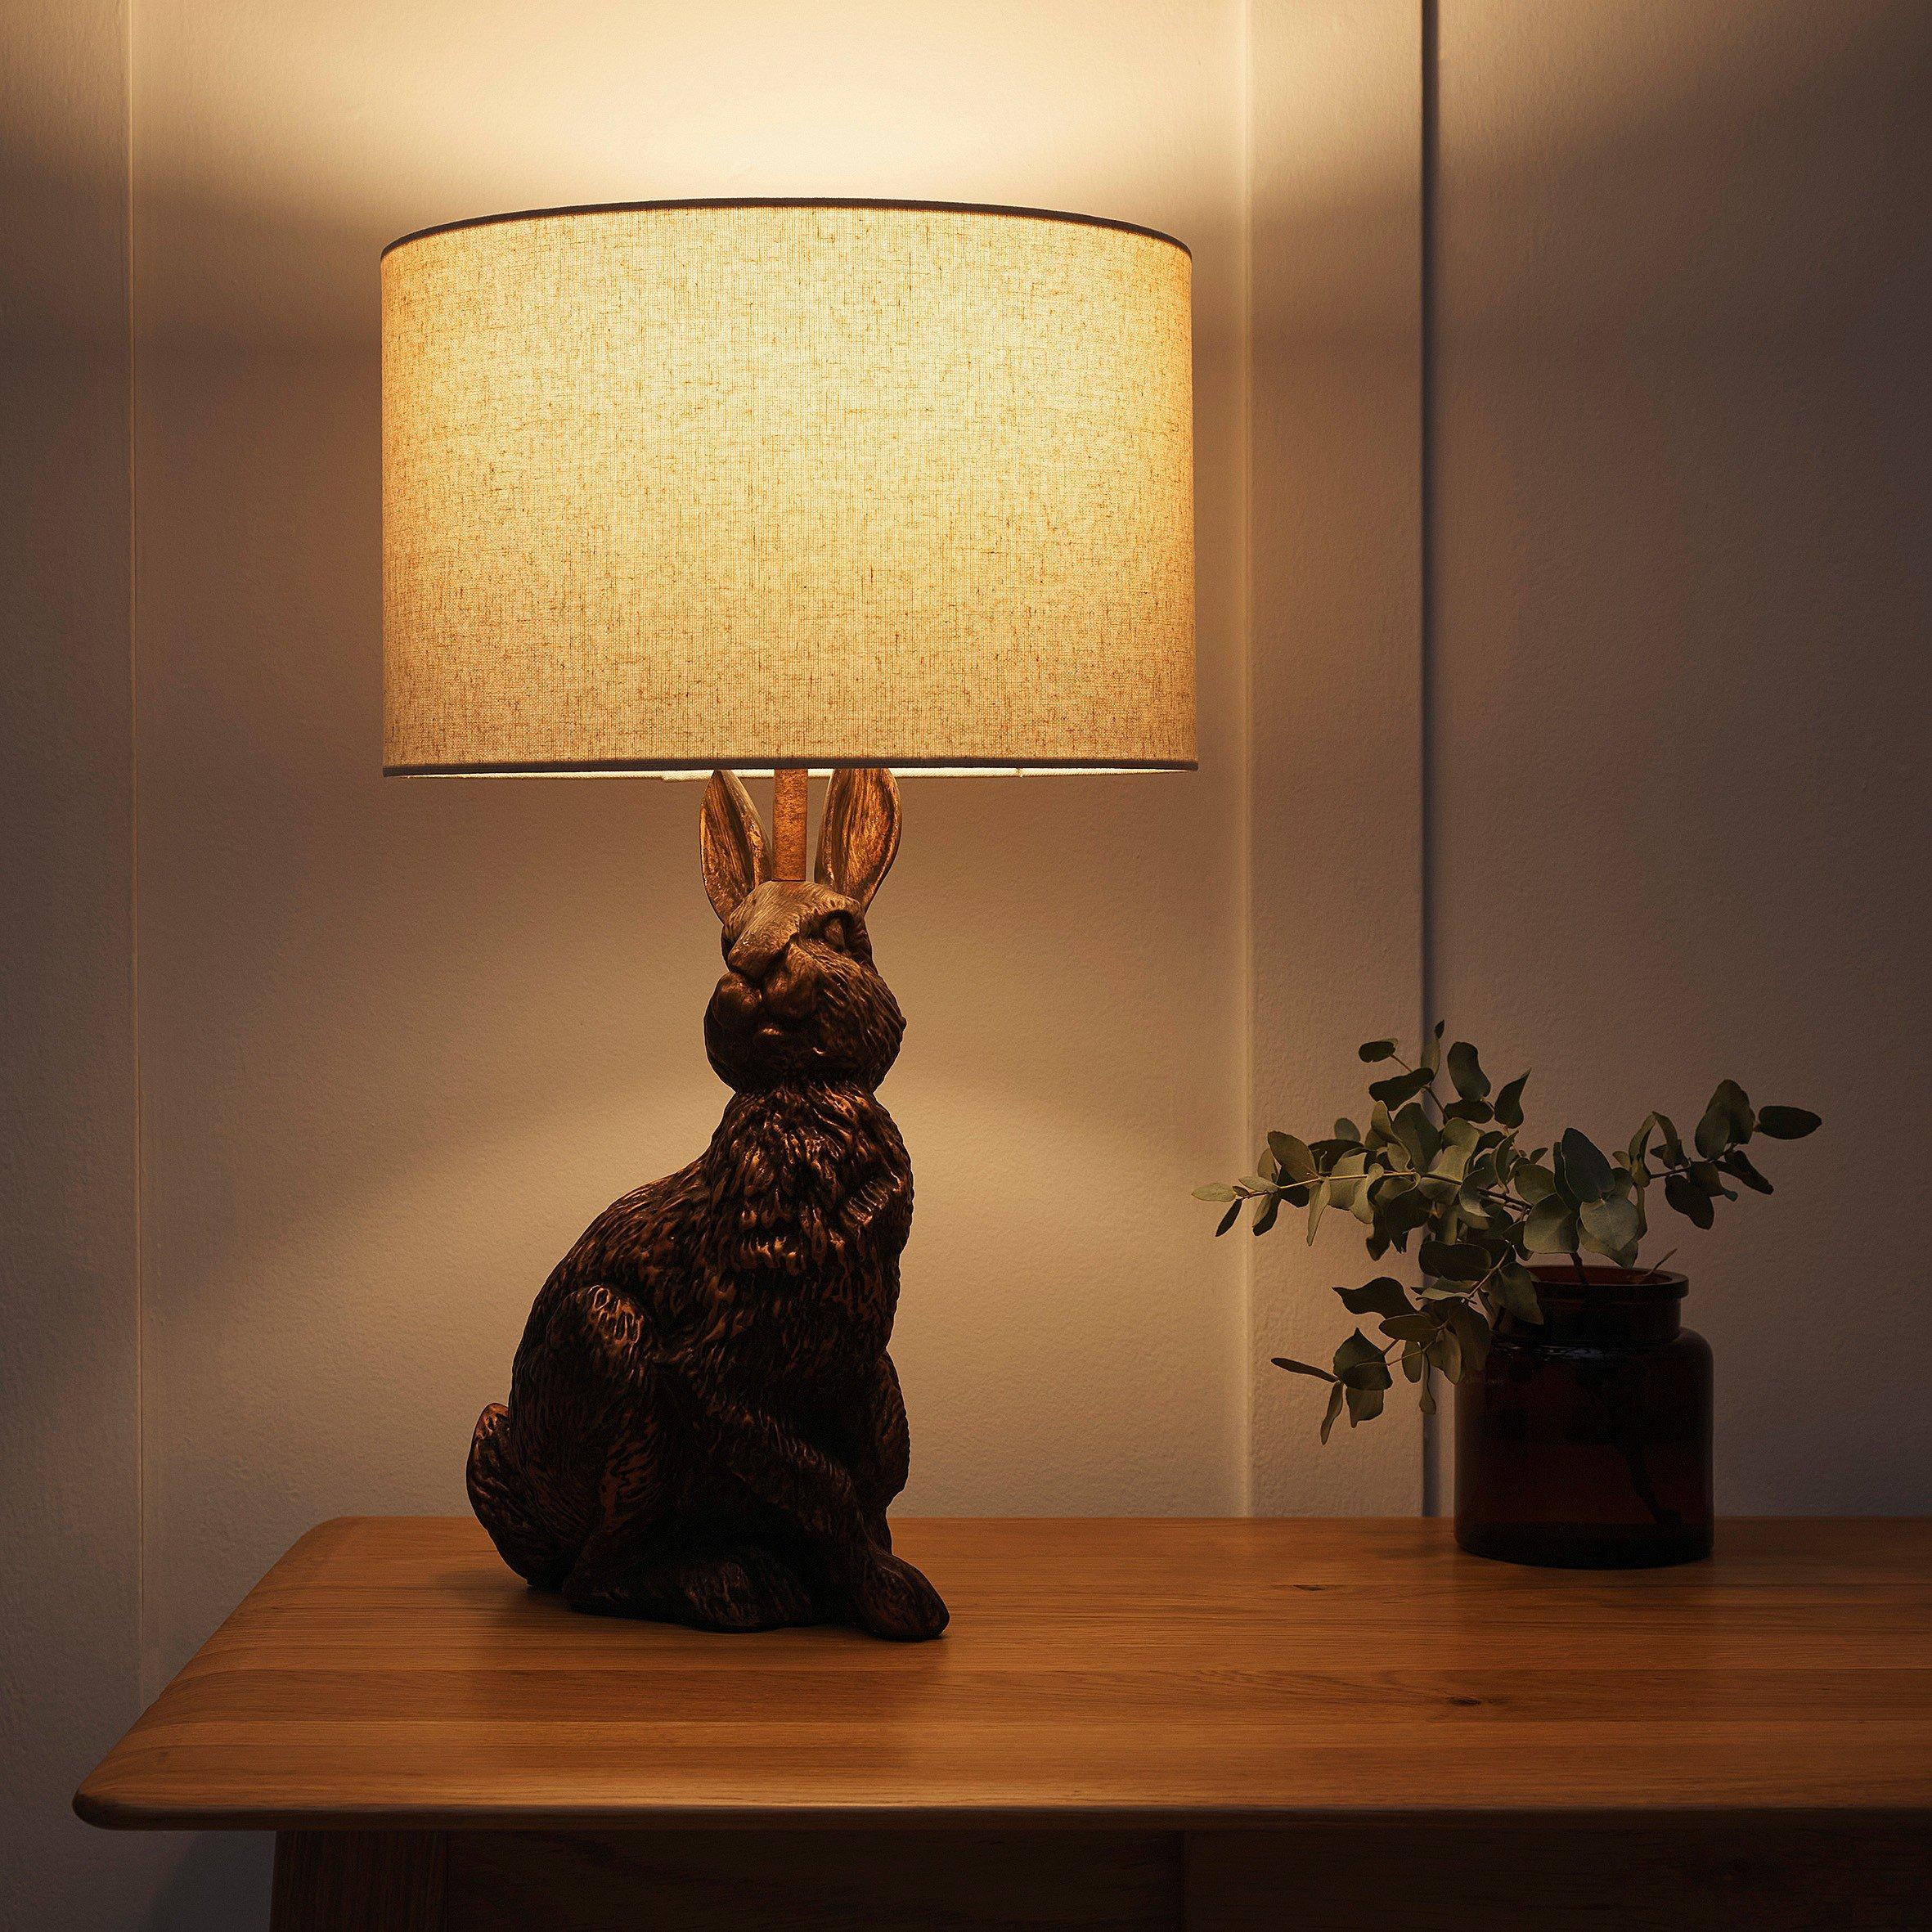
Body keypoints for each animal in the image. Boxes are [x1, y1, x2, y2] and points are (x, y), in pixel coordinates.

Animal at [465, 766, 948, 1641]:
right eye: (726, 938)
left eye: (840, 929)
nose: (752, 965)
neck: (802, 1093)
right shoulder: (712, 1369)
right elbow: (819, 1482)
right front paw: (899, 1598)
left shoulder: (861, 1370)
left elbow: (859, 1483)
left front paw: (872, 1593)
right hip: (610, 1347)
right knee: (592, 1578)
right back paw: (734, 1585)